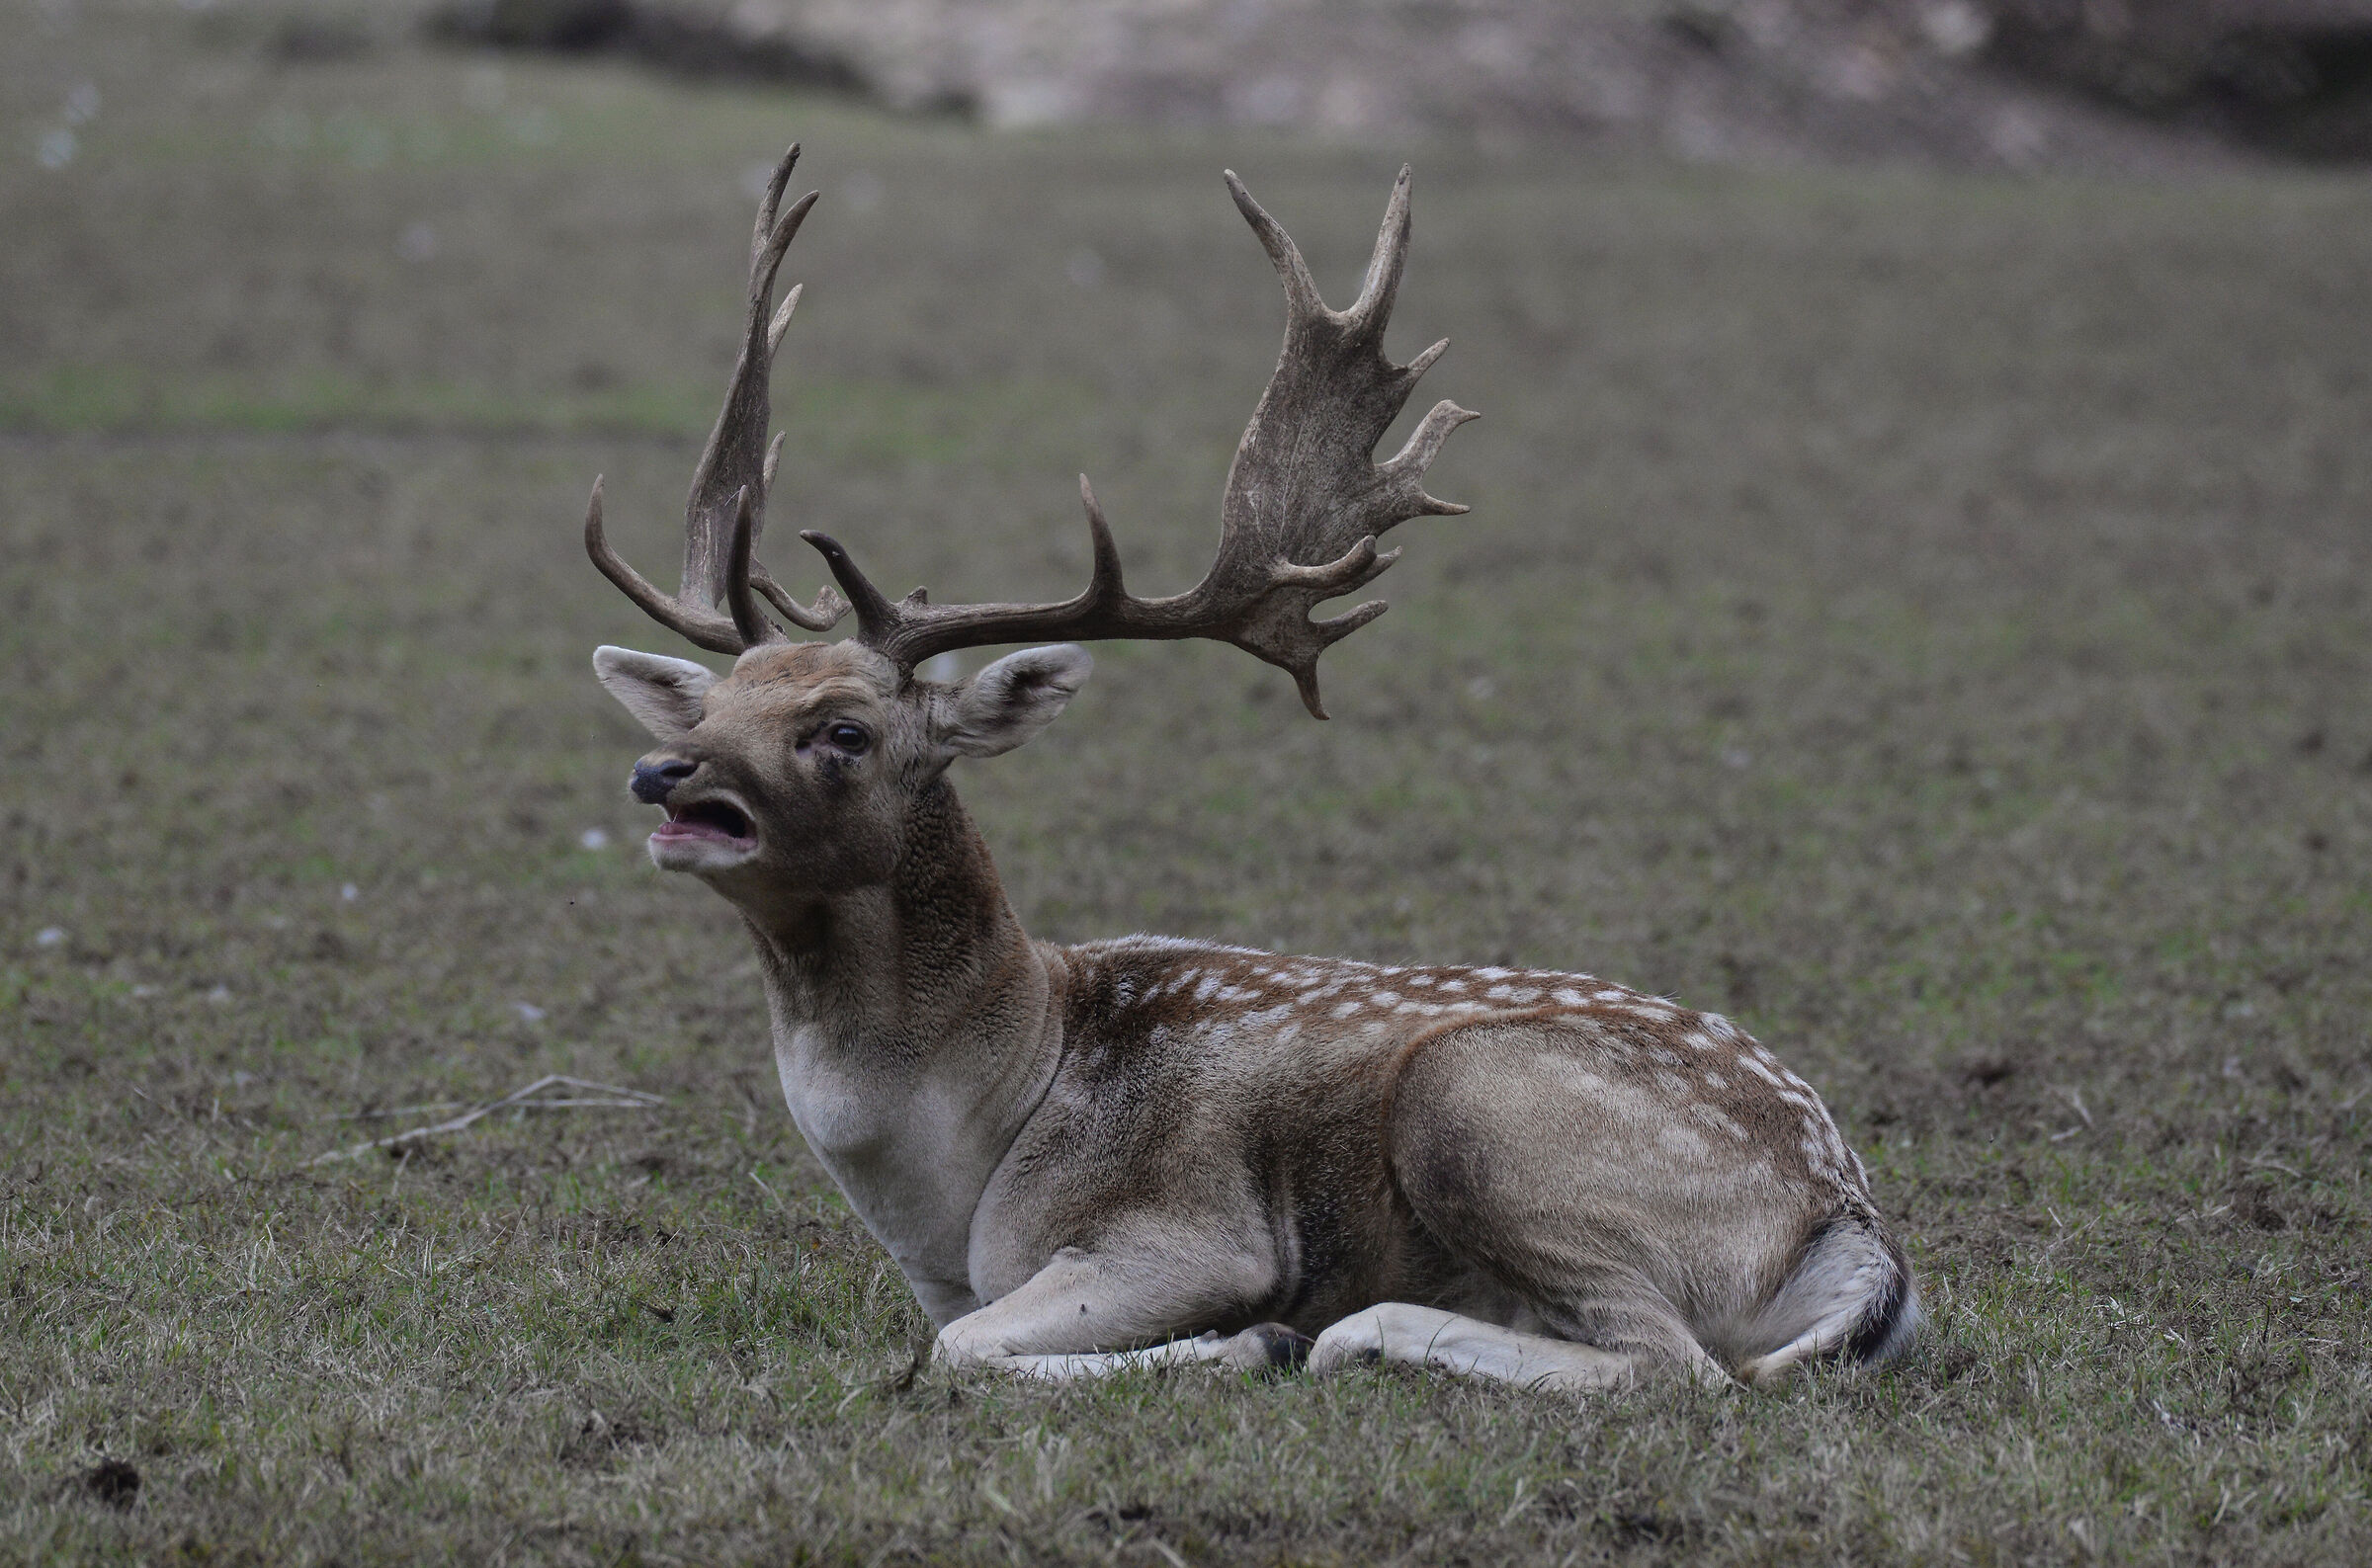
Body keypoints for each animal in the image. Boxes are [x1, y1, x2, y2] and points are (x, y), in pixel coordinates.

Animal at [583, 143, 1918, 1393]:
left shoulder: (1189, 1231)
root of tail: (1854, 1231)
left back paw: (1346, 1334)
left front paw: (1247, 1340)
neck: (971, 1157)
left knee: (1674, 1363)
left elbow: (960, 1346)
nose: (664, 776)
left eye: (846, 730)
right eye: (722, 698)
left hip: (1481, 1105)